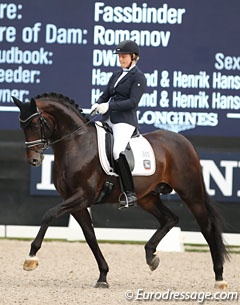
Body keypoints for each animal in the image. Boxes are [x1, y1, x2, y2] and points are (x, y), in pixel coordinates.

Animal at [12, 92, 229, 288]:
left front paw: (30, 258)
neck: (76, 143)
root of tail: (184, 142)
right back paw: (151, 255)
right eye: (22, 126)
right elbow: (90, 236)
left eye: (34, 124)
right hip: (147, 197)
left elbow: (49, 214)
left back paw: (219, 278)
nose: (33, 160)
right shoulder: (75, 202)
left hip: (191, 193)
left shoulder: (83, 196)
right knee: (170, 219)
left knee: (207, 228)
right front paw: (103, 276)